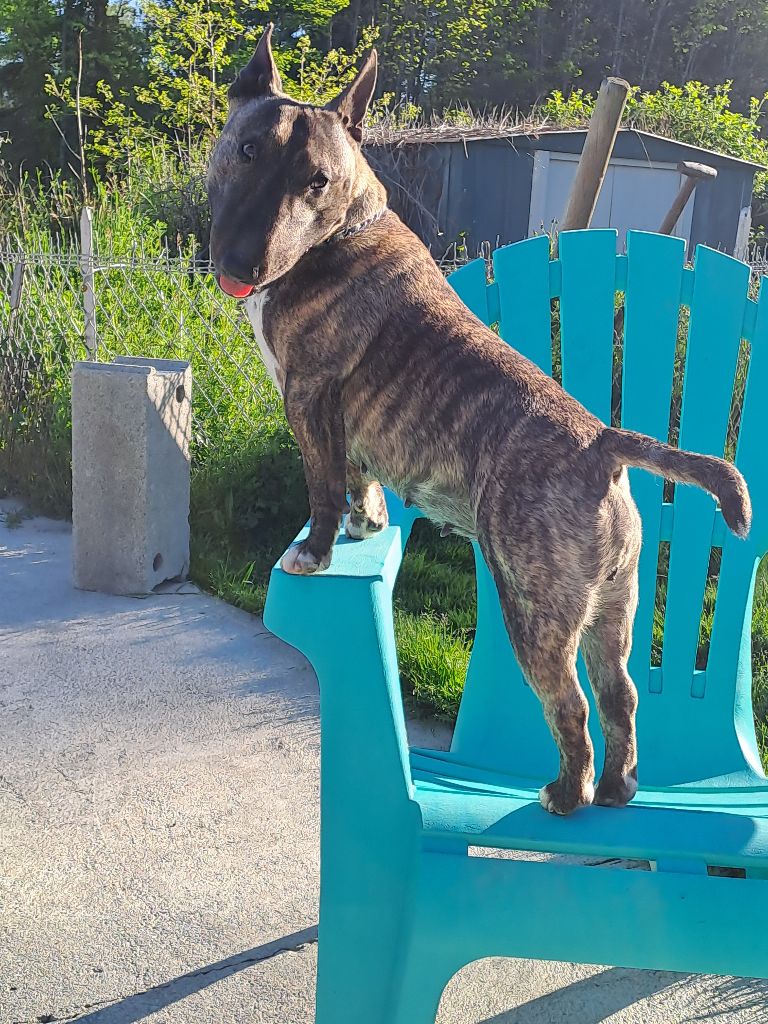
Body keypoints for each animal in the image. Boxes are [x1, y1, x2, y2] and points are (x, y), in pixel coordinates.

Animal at [207, 26, 751, 816]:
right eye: (248, 150)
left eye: (317, 181)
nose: (244, 260)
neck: (343, 230)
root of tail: (602, 443)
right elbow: (359, 478)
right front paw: (368, 523)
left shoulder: (309, 400)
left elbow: (323, 484)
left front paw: (316, 550)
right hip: (613, 606)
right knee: (620, 695)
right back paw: (617, 786)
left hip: (534, 606)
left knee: (571, 705)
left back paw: (567, 792)